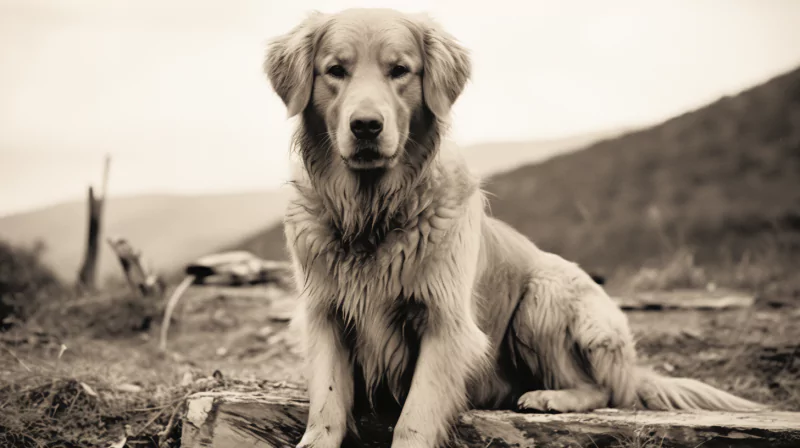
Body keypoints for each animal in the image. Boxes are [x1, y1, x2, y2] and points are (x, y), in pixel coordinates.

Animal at [264, 7, 764, 448]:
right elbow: (327, 407)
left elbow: (414, 419)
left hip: (543, 297)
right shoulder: (324, 315)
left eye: (399, 70)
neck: (372, 214)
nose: (366, 126)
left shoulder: (445, 323)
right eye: (336, 70)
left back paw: (548, 397)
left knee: (601, 387)